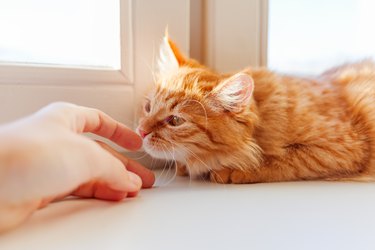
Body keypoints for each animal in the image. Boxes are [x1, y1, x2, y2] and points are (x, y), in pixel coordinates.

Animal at [137, 34, 375, 184]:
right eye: (148, 107)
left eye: (175, 121)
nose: (141, 131)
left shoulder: (343, 148)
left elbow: (285, 160)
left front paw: (234, 171)